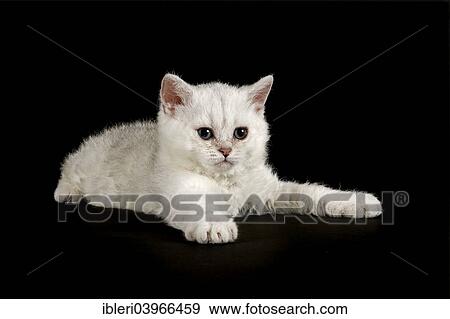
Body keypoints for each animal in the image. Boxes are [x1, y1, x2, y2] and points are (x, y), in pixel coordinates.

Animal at [54, 74, 382, 245]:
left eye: (240, 133)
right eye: (205, 133)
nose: (225, 150)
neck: (226, 182)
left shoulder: (269, 191)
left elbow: (309, 192)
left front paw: (355, 202)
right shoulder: (180, 189)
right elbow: (200, 205)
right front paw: (214, 225)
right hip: (81, 164)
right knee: (68, 170)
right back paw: (68, 193)